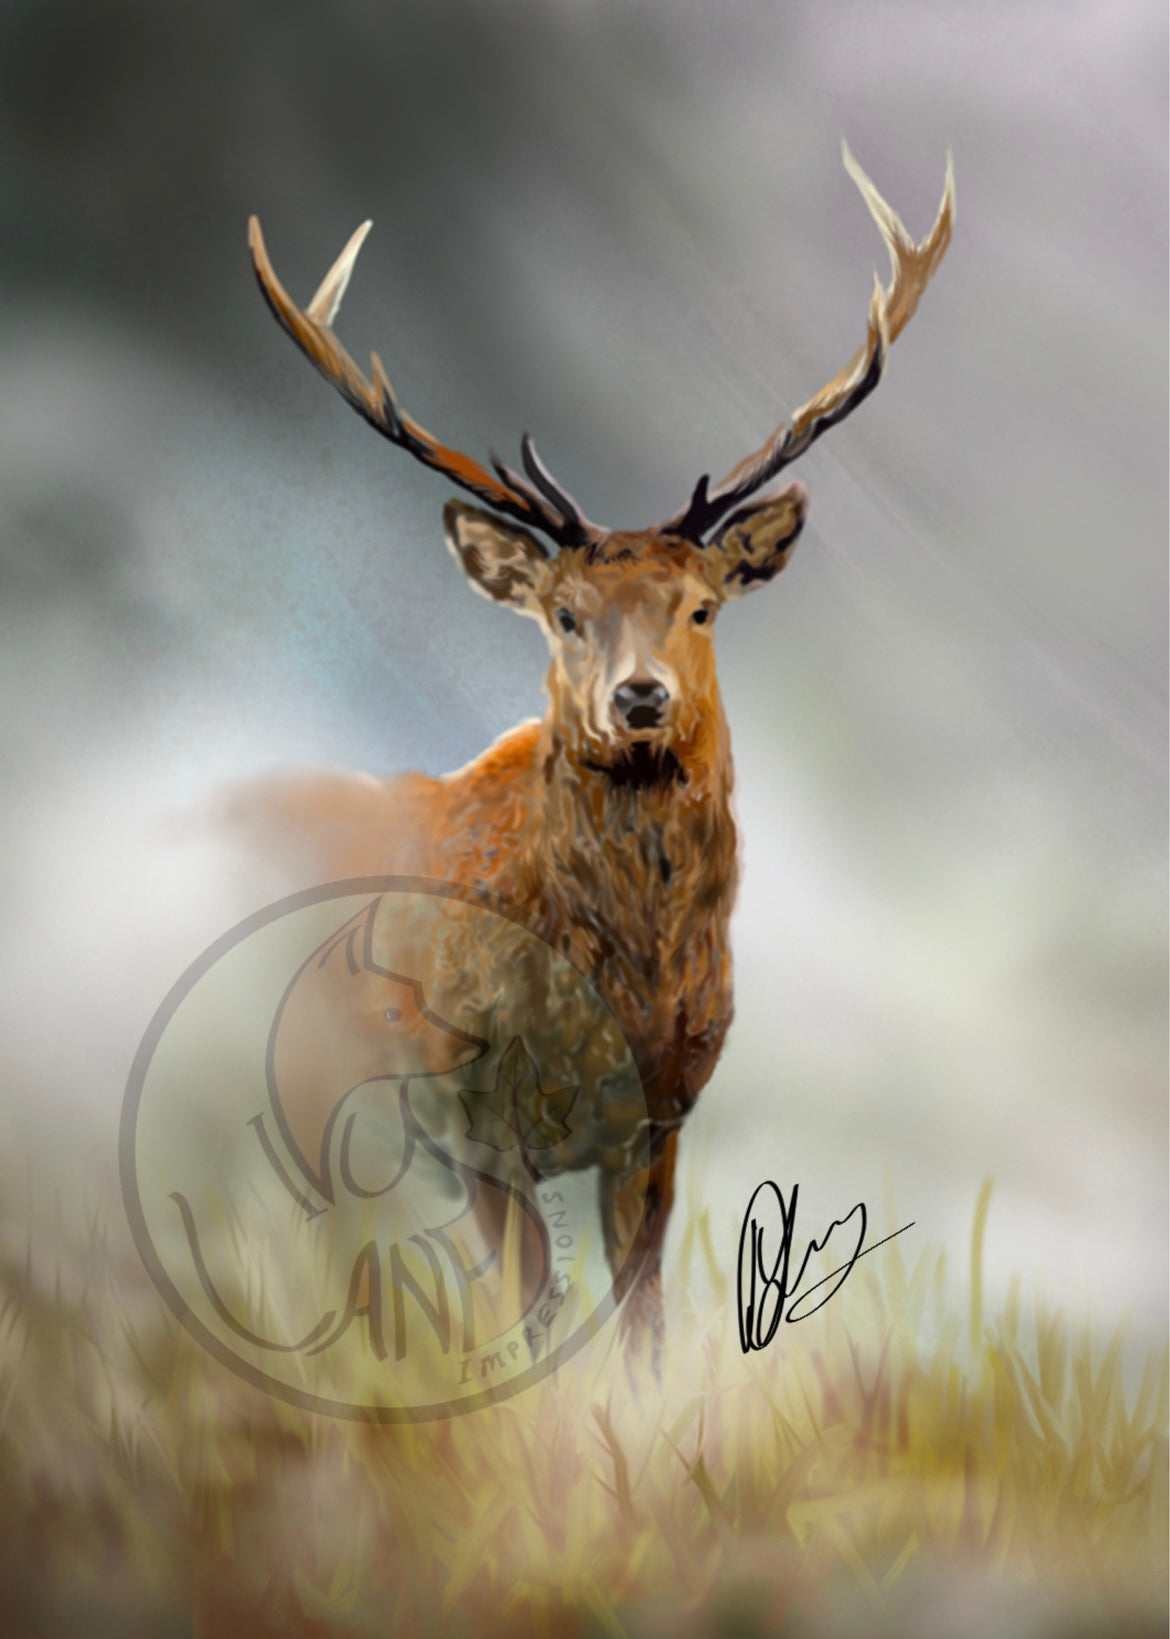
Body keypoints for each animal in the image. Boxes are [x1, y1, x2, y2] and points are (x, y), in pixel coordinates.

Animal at [233, 143, 954, 1367]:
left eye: (703, 606)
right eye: (564, 613)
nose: (640, 697)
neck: (614, 991)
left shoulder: (660, 1120)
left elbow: (640, 1323)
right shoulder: (470, 1120)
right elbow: (532, 1318)